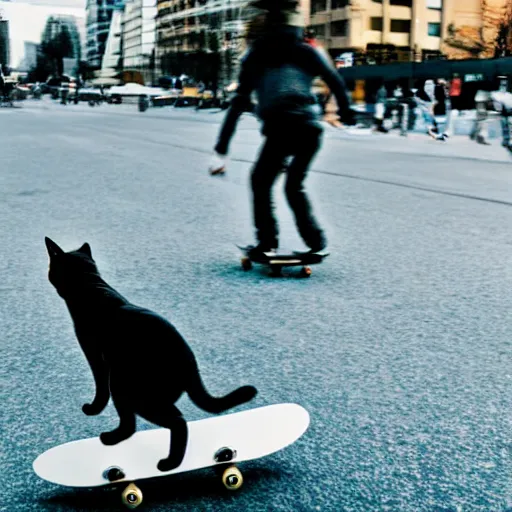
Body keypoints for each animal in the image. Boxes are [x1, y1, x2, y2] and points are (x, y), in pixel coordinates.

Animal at [45, 238, 258, 470]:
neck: (90, 285)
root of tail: (191, 364)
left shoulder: (94, 355)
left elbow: (100, 386)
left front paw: (93, 408)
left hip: (128, 388)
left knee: (173, 421)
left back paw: (166, 461)